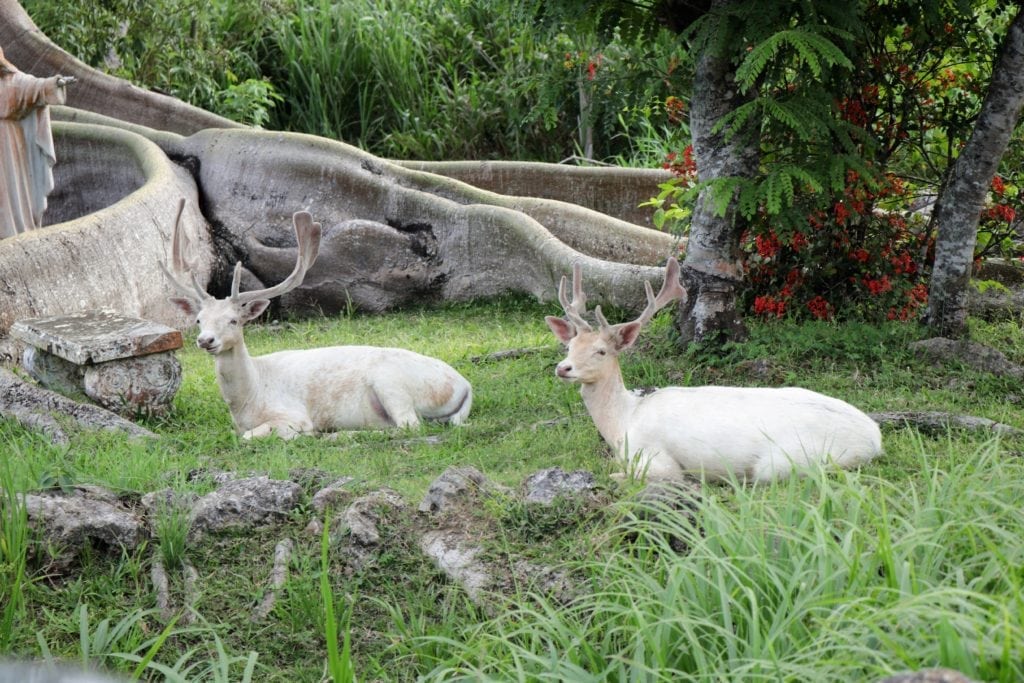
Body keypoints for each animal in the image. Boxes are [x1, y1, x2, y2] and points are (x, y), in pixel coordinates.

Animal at [162, 200, 471, 440]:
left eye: (233, 321)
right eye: (199, 320)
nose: (206, 340)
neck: (249, 401)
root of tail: (464, 385)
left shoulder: (292, 414)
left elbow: (250, 436)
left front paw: (304, 434)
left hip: (392, 384)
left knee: (409, 425)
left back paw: (338, 434)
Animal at [544, 259, 880, 483]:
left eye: (601, 351)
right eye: (569, 346)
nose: (563, 368)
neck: (623, 423)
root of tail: (875, 439)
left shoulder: (656, 460)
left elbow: (619, 476)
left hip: (788, 461)